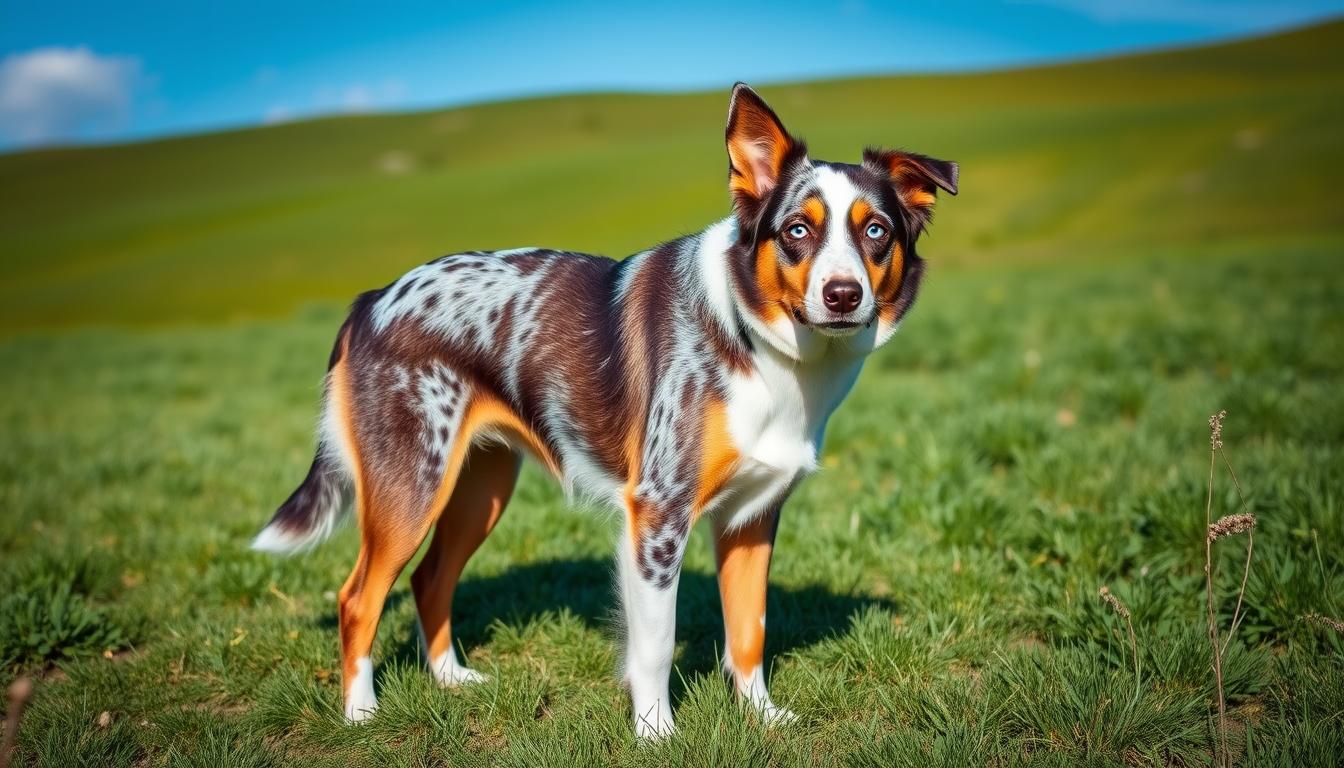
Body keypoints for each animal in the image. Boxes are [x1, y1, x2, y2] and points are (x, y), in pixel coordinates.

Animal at [254, 84, 956, 737]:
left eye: (875, 231)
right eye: (797, 231)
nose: (843, 295)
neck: (760, 342)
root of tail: (372, 299)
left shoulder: (753, 517)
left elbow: (749, 632)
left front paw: (761, 717)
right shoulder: (658, 513)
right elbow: (655, 645)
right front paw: (655, 734)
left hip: (481, 486)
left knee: (430, 578)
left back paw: (452, 679)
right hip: (411, 486)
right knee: (358, 597)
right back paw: (360, 713)